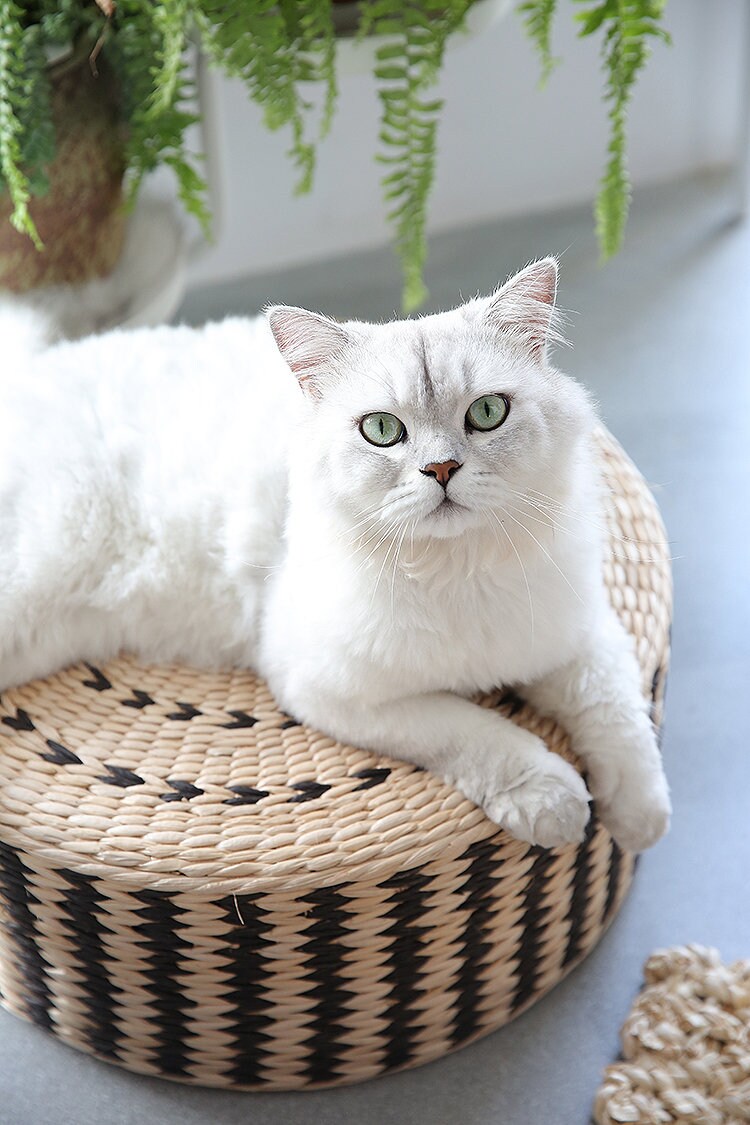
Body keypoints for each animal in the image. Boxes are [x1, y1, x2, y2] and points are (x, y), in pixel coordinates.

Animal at [0, 258, 670, 846]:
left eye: (487, 413)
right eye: (382, 430)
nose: (442, 469)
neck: (457, 572)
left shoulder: (579, 632)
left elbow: (619, 713)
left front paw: (635, 821)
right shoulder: (332, 691)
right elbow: (478, 732)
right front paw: (556, 804)